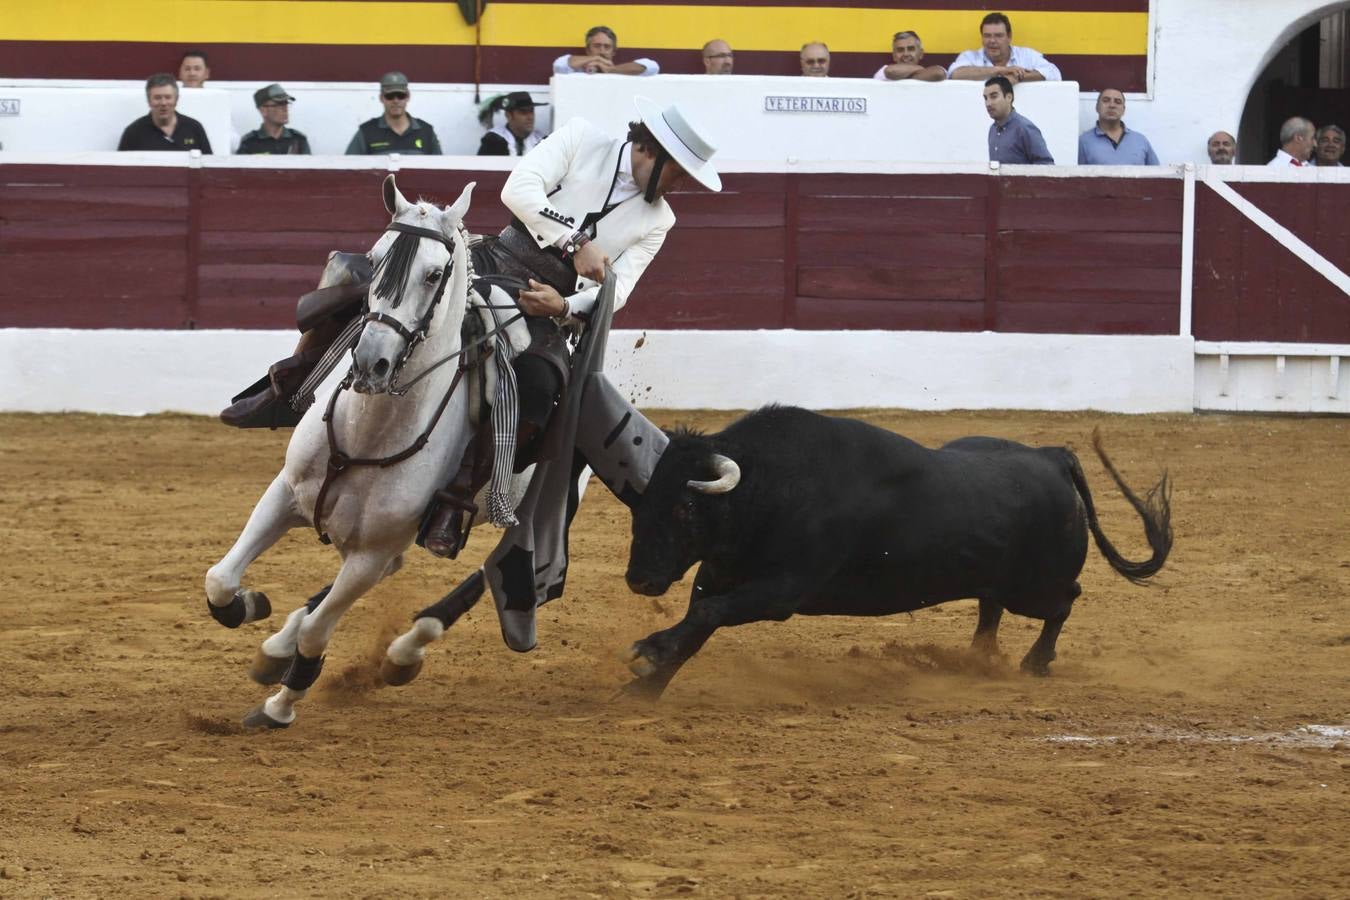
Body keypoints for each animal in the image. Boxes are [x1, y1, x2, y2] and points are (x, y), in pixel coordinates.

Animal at [202, 175, 523, 734]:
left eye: (434, 274)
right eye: (375, 261)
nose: (373, 362)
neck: (368, 433)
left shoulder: (370, 554)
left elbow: (318, 631)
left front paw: (280, 706)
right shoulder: (285, 493)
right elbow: (220, 579)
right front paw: (250, 605)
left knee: (498, 567)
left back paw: (402, 653)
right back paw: (277, 646)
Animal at [621, 407, 1171, 696]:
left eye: (684, 509)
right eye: (641, 501)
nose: (639, 580)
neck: (771, 485)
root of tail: (1052, 457)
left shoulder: (782, 591)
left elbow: (706, 614)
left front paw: (648, 656)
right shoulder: (720, 574)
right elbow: (700, 620)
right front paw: (647, 682)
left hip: (1033, 587)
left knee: (1065, 600)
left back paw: (1034, 662)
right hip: (997, 578)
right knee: (991, 606)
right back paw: (978, 658)